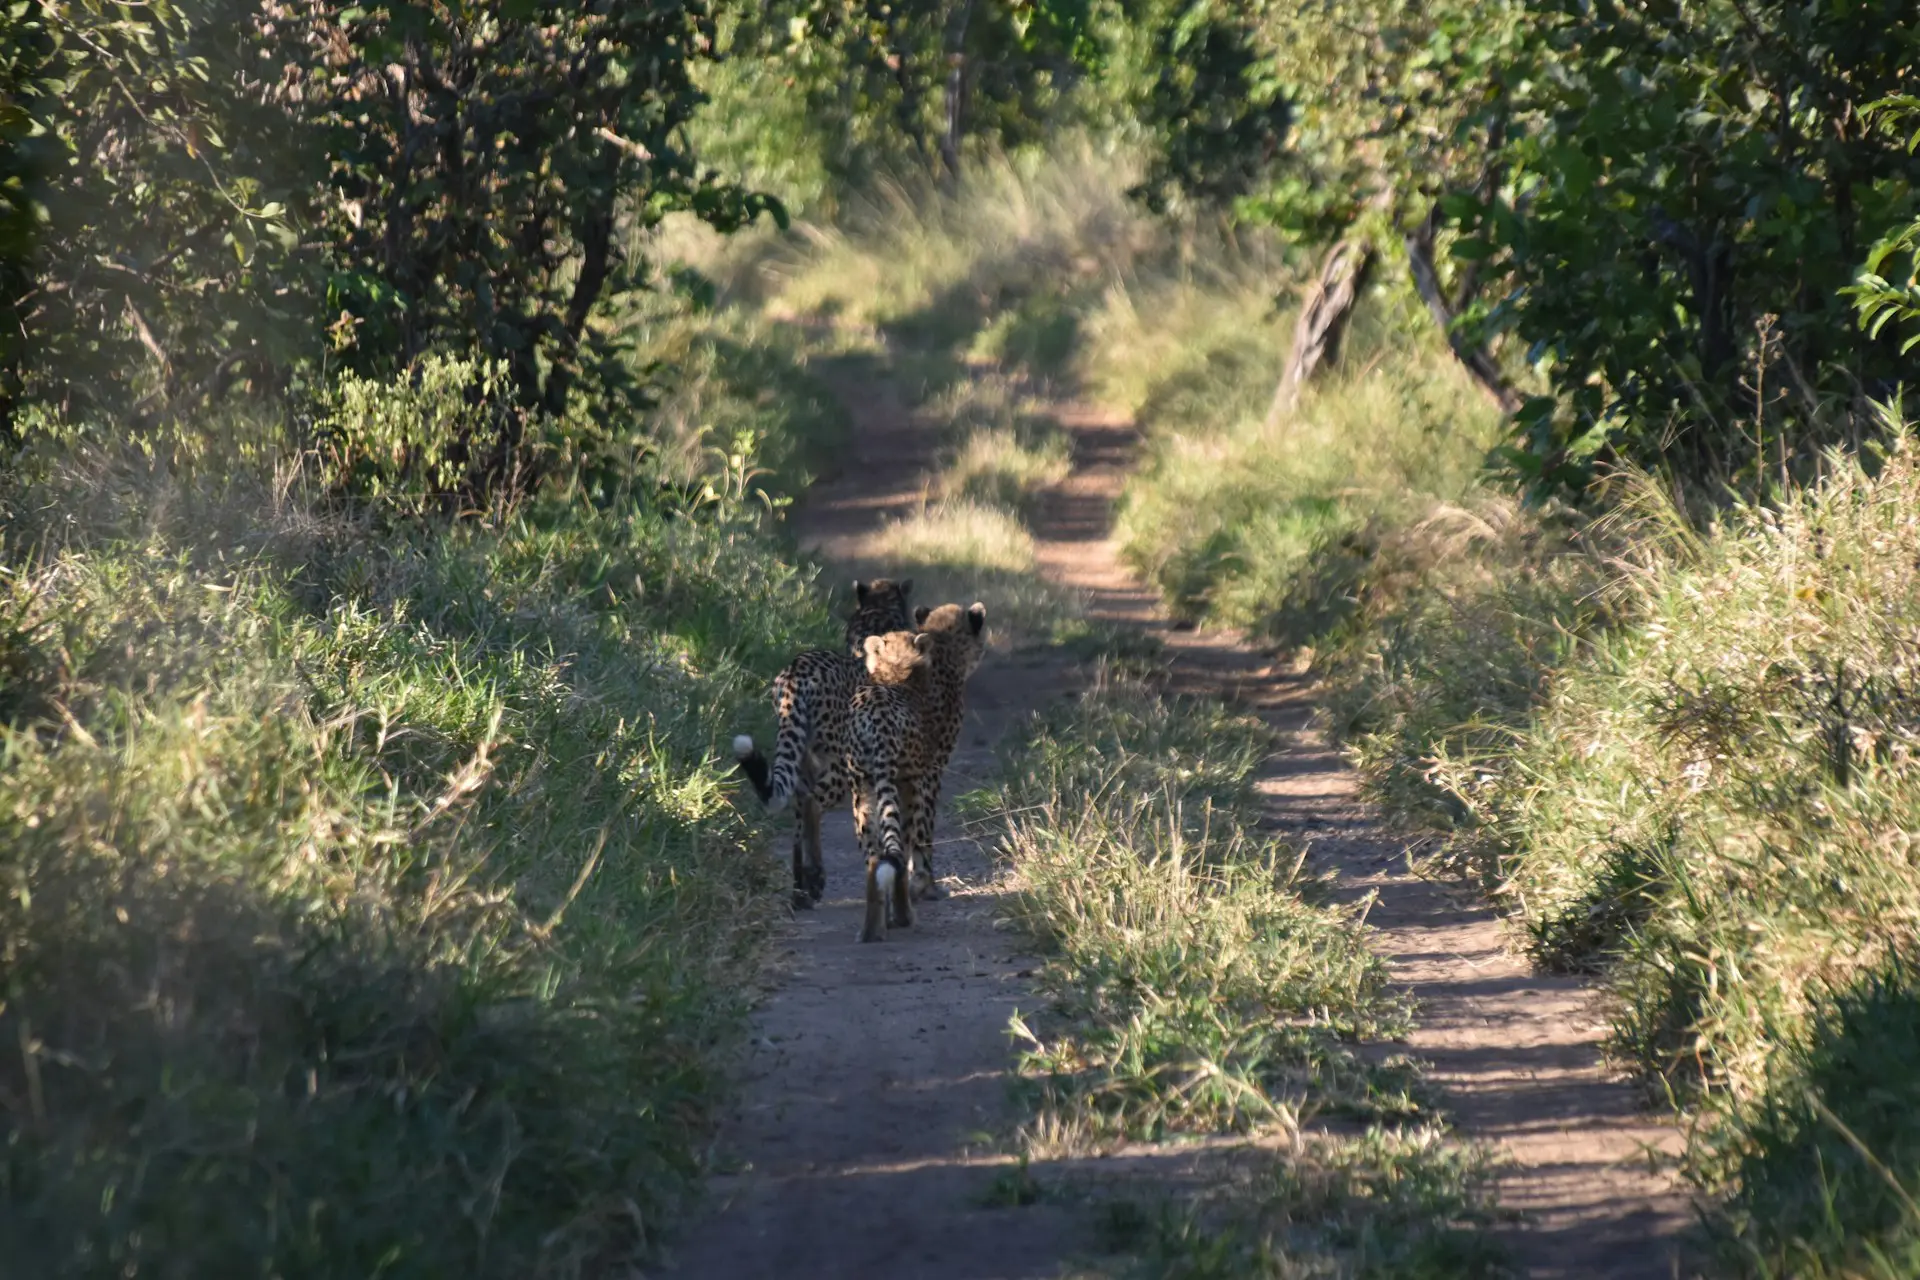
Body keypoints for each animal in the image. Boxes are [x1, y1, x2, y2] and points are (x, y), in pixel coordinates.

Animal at [732, 578, 914, 906]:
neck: (878, 614)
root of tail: (796, 670)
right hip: (841, 763)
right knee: (811, 803)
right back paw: (814, 876)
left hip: (801, 755)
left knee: (797, 806)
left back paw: (800, 887)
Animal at [848, 601, 988, 943]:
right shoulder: (931, 772)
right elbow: (923, 835)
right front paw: (926, 887)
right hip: (906, 781)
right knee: (900, 847)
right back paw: (903, 915)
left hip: (864, 789)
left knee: (876, 857)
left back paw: (873, 929)